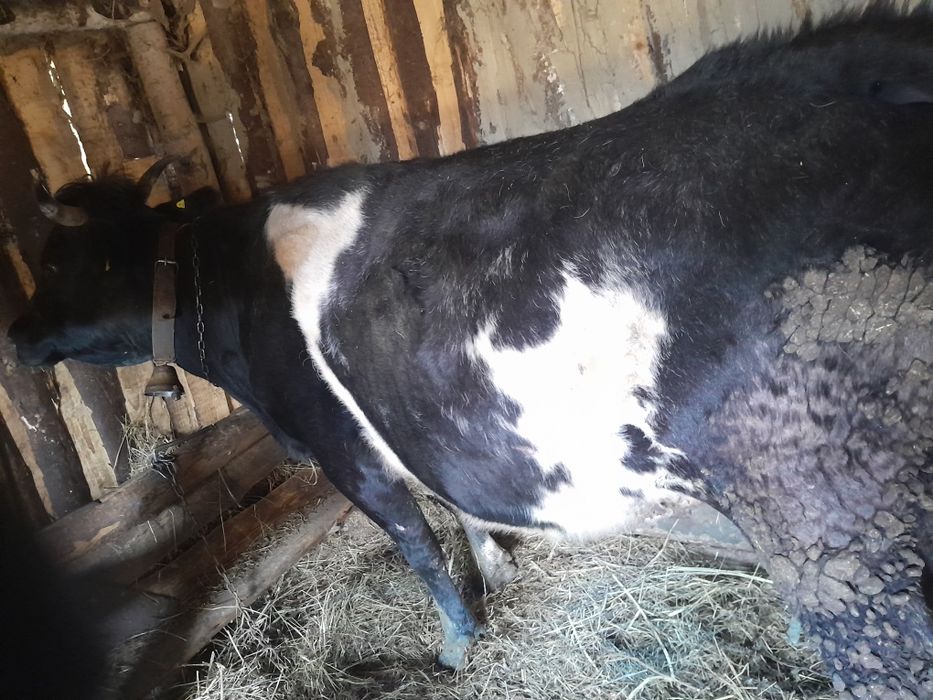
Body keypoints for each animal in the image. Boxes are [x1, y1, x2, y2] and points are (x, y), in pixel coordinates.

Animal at [8, 6, 933, 697]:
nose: (15, 336)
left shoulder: (345, 448)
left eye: (54, 260)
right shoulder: (421, 418)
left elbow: (417, 544)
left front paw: (456, 642)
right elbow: (459, 505)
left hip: (844, 524)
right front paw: (497, 574)